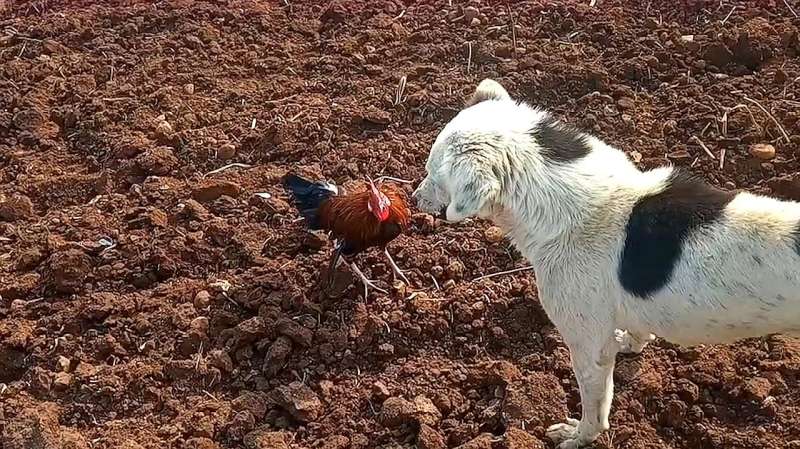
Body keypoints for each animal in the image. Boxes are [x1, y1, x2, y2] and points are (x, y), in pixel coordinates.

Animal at [412, 79, 800, 446]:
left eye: (433, 173)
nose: (414, 199)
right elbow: (638, 330)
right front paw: (629, 343)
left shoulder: (585, 343)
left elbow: (594, 407)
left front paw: (577, 437)